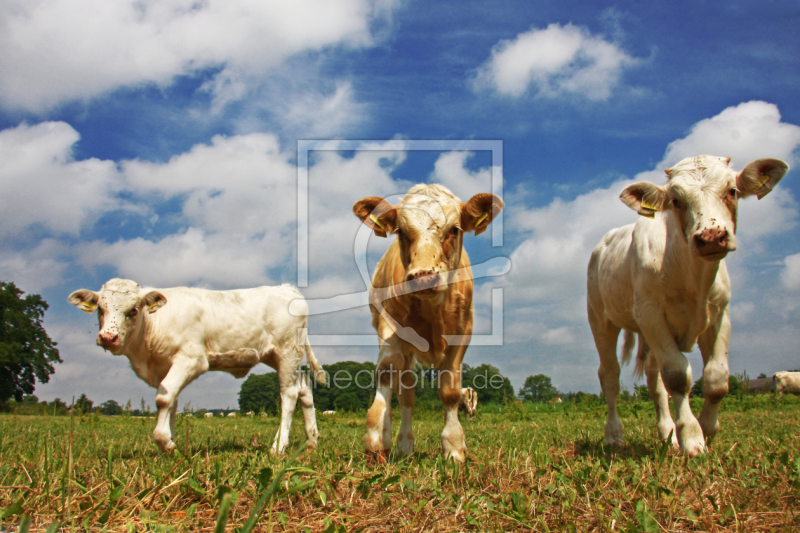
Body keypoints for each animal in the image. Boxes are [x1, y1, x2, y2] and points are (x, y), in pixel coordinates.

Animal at [69, 278, 324, 454]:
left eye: (132, 310)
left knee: (289, 394)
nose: (108, 337)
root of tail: (286, 287)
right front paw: (168, 445)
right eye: (100, 309)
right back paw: (312, 441)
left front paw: (166, 444)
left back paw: (278, 447)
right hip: (280, 357)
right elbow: (171, 401)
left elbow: (163, 399)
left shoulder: (191, 359)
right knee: (304, 388)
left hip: (287, 352)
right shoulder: (165, 368)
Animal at [354, 183, 504, 462]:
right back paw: (403, 444)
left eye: (454, 230)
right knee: (406, 395)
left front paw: (454, 447)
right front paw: (377, 439)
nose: (423, 276)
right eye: (401, 232)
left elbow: (450, 390)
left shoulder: (463, 332)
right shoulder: (390, 327)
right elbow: (387, 373)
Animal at [588, 155, 788, 458]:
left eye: (732, 191)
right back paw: (614, 436)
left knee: (654, 380)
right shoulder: (651, 314)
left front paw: (706, 429)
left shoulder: (719, 314)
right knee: (610, 375)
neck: (690, 276)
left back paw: (666, 435)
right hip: (601, 319)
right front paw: (692, 438)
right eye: (676, 200)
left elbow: (716, 378)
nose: (711, 236)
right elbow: (677, 376)